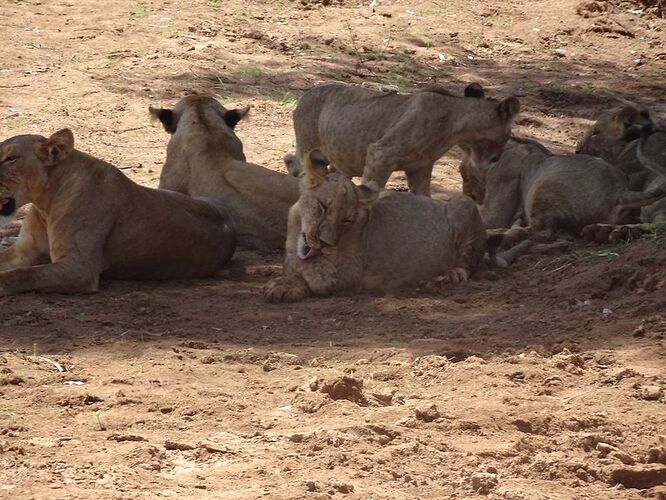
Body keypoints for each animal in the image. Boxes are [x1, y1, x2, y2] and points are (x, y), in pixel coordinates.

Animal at [260, 152, 498, 302]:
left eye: (346, 220)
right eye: (323, 207)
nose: (325, 243)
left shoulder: (352, 270)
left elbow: (313, 274)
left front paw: (284, 286)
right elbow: (294, 264)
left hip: (464, 205)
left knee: (466, 265)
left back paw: (446, 277)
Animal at [282, 81, 516, 195]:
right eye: (508, 135)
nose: (496, 159)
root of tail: (306, 93)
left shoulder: (420, 167)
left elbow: (423, 198)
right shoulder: (382, 152)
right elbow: (371, 190)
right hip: (309, 145)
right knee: (300, 167)